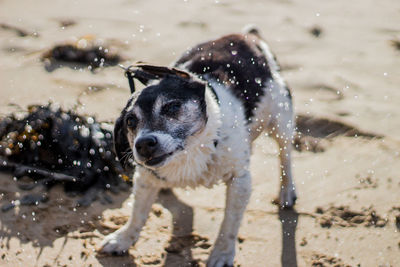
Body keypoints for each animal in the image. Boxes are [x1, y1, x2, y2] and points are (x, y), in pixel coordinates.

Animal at [98, 26, 296, 267]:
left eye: (172, 107)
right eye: (130, 121)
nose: (143, 144)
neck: (191, 150)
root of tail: (249, 35)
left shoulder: (239, 181)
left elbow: (229, 223)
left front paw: (222, 254)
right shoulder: (145, 179)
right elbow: (138, 214)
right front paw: (123, 239)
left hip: (281, 120)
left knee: (285, 155)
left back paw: (287, 191)